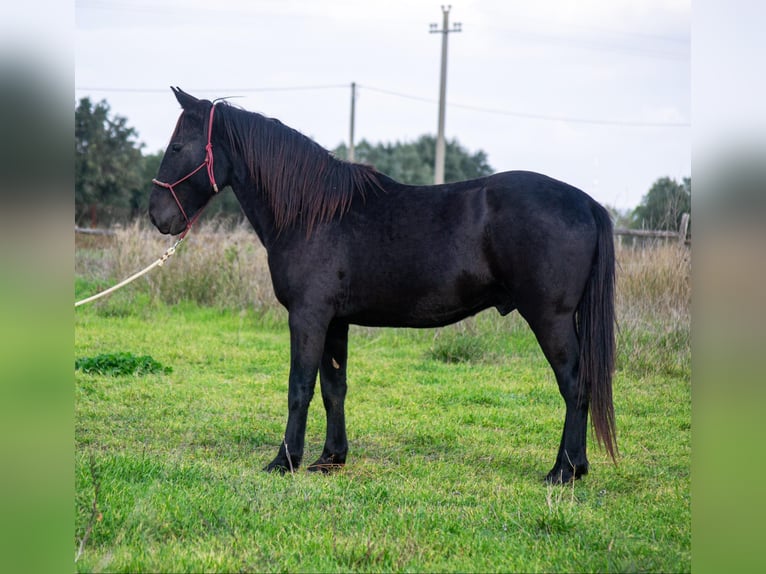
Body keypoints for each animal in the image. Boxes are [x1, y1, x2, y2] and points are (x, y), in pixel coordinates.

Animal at [148, 89, 616, 486]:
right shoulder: (334, 322)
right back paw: (576, 467)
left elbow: (299, 387)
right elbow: (333, 389)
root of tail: (586, 202)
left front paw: (285, 460)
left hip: (551, 318)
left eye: (177, 148)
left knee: (574, 385)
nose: (157, 216)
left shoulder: (308, 316)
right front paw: (330, 458)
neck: (312, 213)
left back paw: (563, 470)